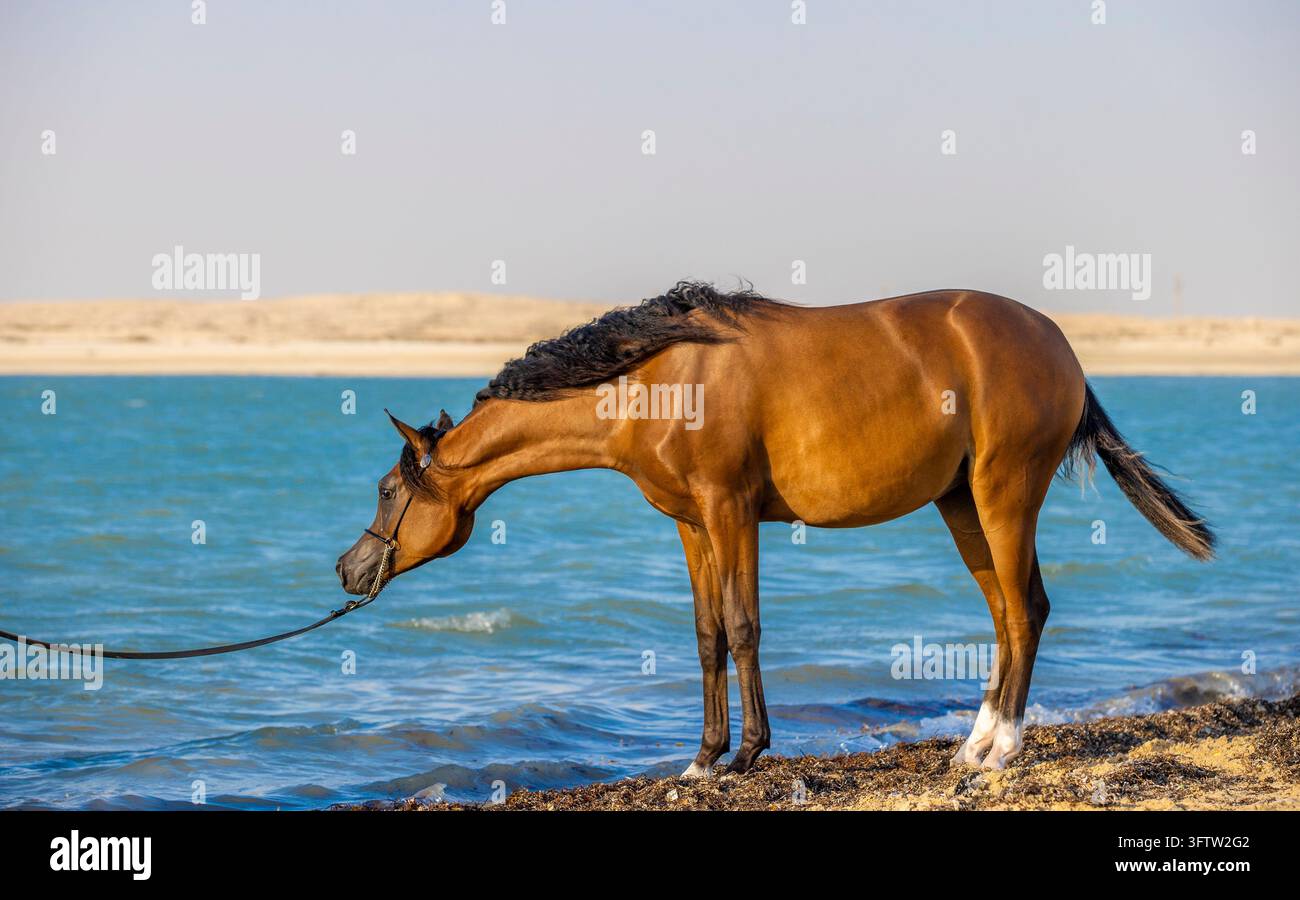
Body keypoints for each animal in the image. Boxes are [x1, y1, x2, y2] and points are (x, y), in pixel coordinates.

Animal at [336, 282, 1214, 775]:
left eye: (385, 490)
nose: (349, 570)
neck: (656, 381)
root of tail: (1061, 347)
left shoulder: (731, 511)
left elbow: (744, 625)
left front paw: (750, 753)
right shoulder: (692, 525)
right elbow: (706, 635)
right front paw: (702, 758)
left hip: (1005, 495)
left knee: (1027, 612)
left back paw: (1001, 754)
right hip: (963, 503)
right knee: (1004, 613)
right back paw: (971, 747)